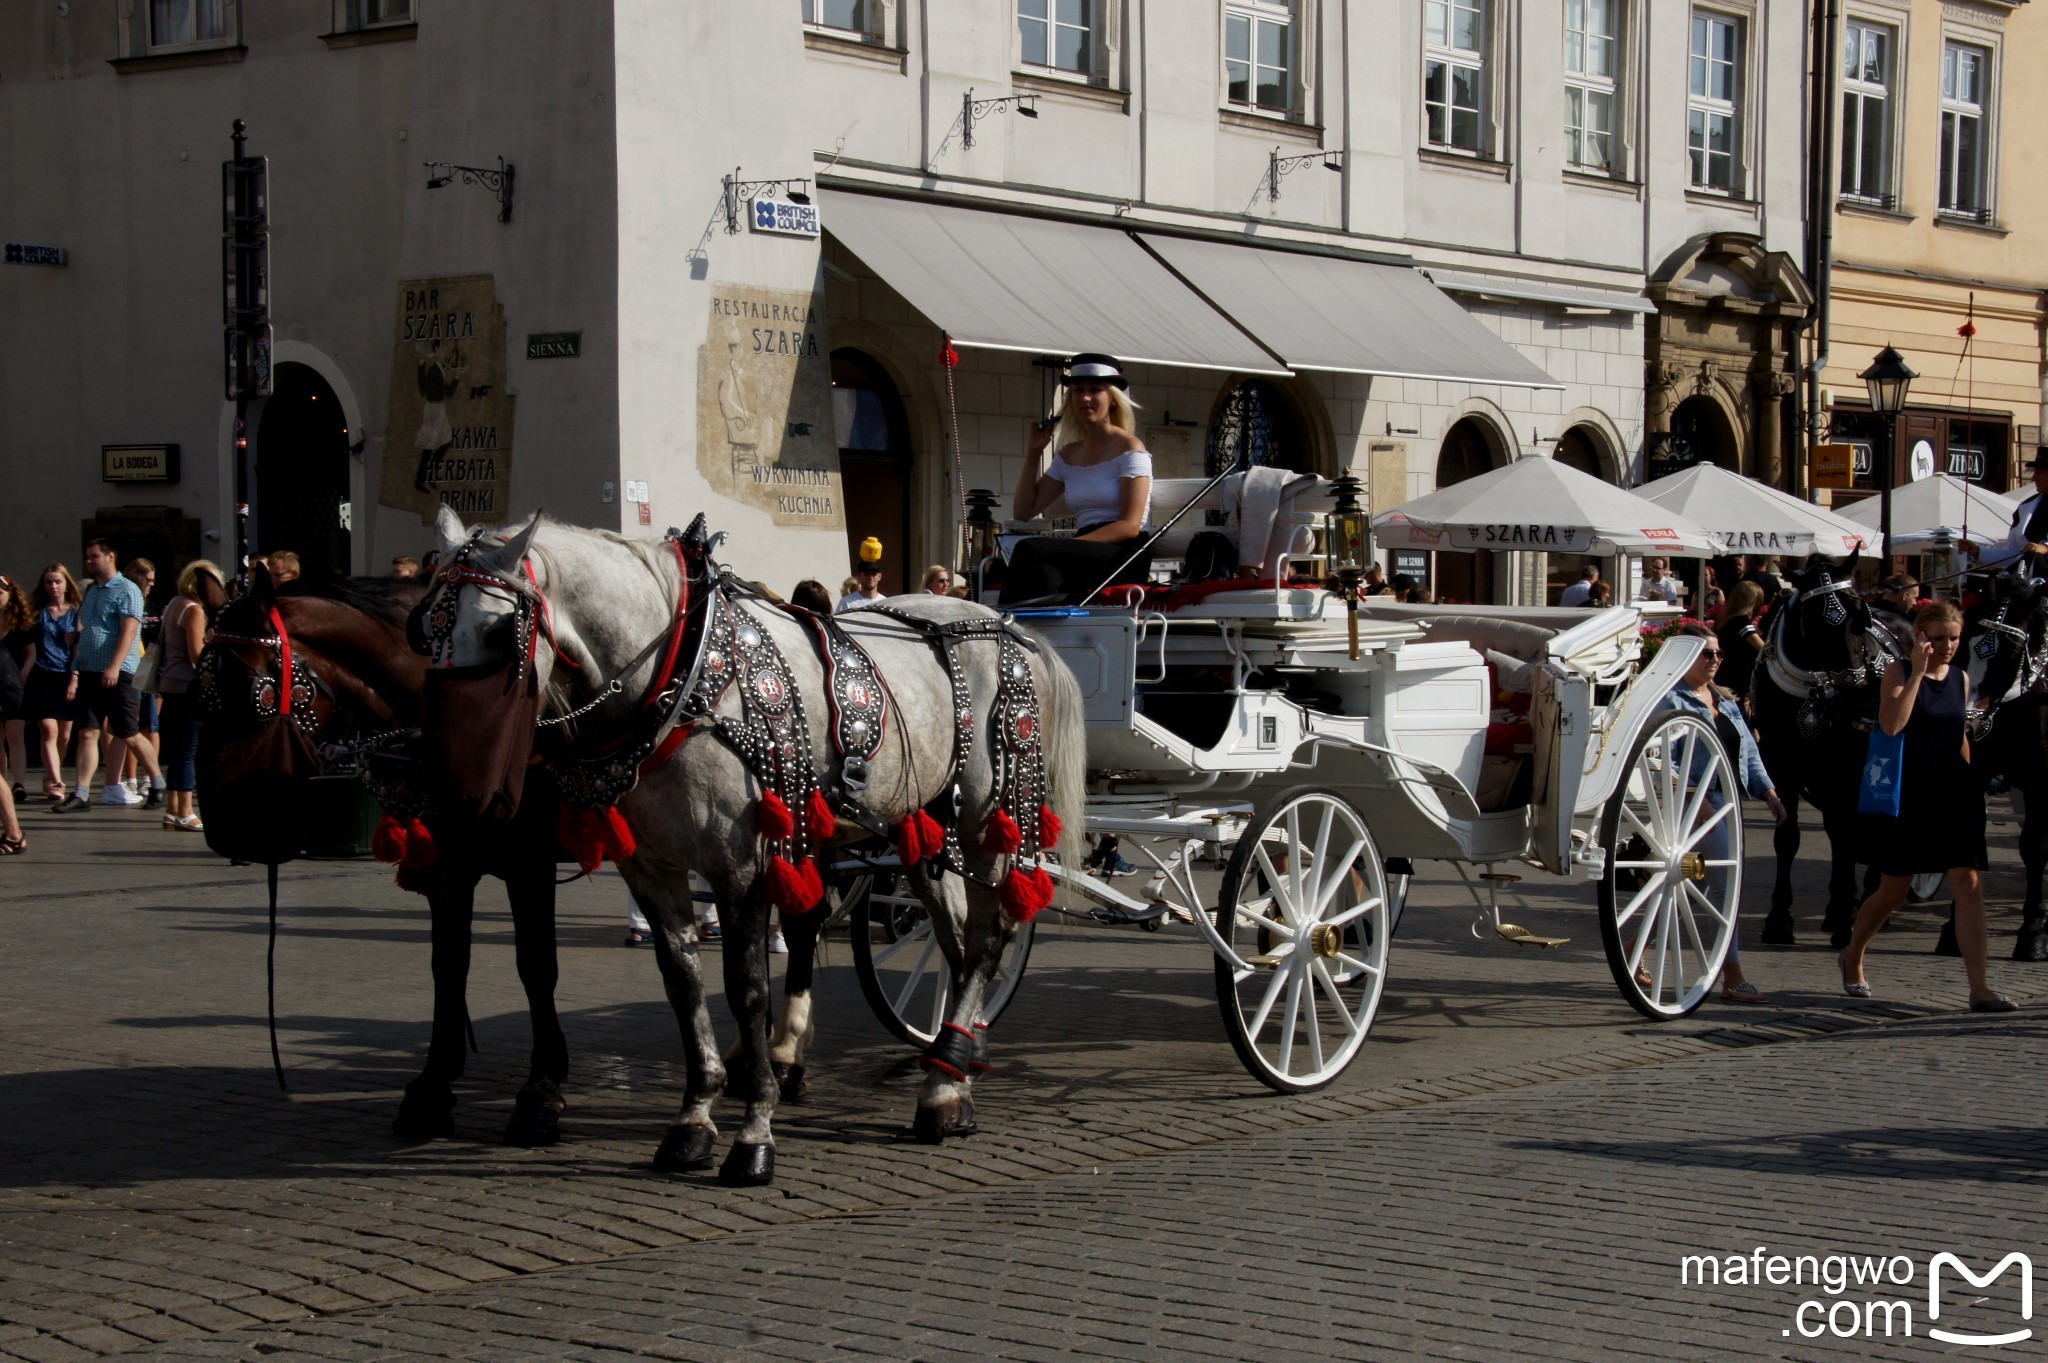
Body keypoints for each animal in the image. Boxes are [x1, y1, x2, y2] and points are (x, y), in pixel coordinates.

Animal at [409, 507, 1097, 1178]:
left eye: (502, 632)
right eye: (421, 630)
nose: (456, 794)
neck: (680, 675)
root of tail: (1009, 626)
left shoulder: (738, 864)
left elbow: (746, 989)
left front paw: (754, 1131)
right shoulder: (649, 868)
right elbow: (683, 985)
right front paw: (694, 1118)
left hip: (988, 821)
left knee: (986, 942)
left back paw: (942, 1090)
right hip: (924, 828)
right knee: (953, 943)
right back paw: (958, 1067)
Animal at [1753, 552, 1892, 945]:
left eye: (1860, 613)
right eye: (1813, 620)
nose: (1864, 694)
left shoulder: (1847, 767)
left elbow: (1846, 835)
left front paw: (1846, 920)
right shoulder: (1781, 764)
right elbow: (1787, 837)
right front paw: (1779, 919)